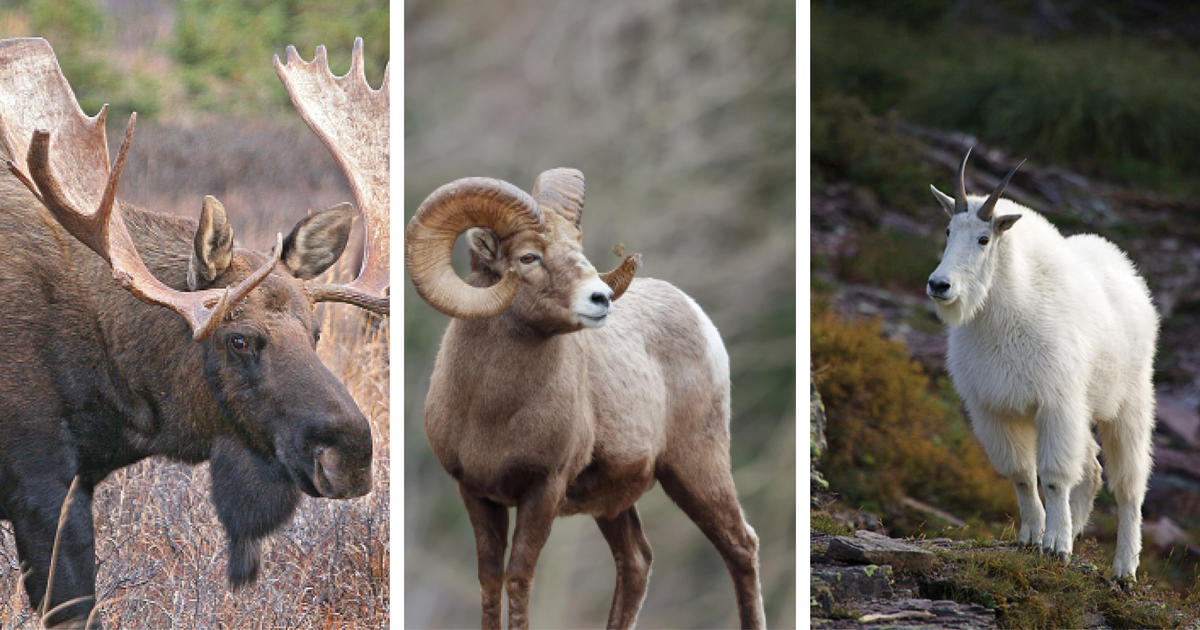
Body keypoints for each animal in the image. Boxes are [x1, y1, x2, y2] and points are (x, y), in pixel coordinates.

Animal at [405, 168, 765, 629]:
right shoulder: (475, 492)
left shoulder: (544, 490)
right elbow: (489, 581)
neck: (493, 413)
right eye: (528, 257)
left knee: (740, 546)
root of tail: (698, 316)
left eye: (577, 248)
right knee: (636, 561)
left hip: (696, 467)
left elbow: (518, 579)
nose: (601, 299)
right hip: (615, 504)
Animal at [926, 149, 1158, 580]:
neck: (1002, 311)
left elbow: (1052, 478)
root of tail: (1127, 270)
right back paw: (1078, 528)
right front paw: (1032, 536)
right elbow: (1020, 474)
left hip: (1131, 401)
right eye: (948, 231)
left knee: (1129, 485)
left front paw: (1056, 546)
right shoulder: (995, 409)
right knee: (1092, 468)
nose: (939, 285)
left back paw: (1124, 570)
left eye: (984, 239)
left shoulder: (1056, 402)